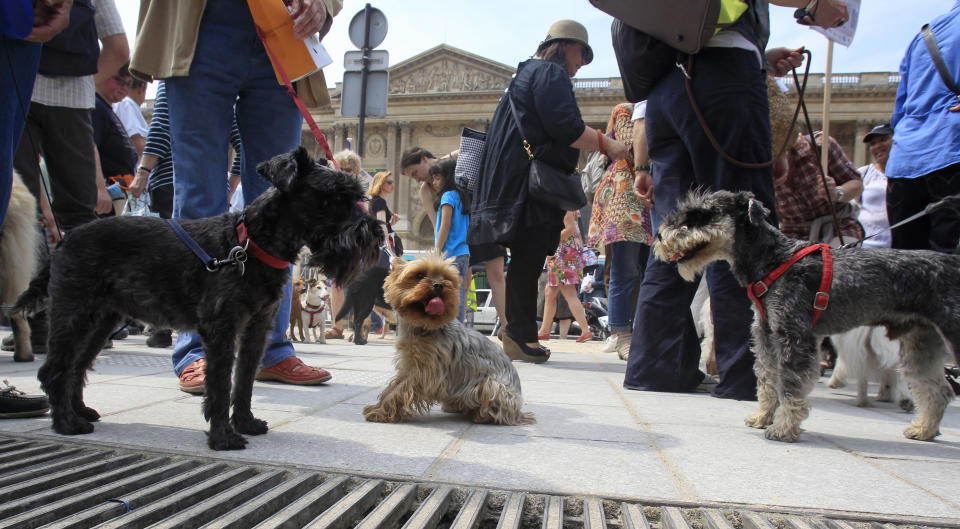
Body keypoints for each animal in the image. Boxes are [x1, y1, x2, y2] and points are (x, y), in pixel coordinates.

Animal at [14, 147, 382, 450]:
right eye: (331, 197)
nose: (376, 232)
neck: (251, 244)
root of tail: (65, 240)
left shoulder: (256, 328)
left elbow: (244, 379)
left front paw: (245, 422)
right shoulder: (221, 328)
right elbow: (219, 383)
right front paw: (223, 437)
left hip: (100, 322)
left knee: (76, 366)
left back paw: (80, 412)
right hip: (74, 315)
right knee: (55, 369)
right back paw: (66, 423)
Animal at [364, 252, 536, 424]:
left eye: (447, 278)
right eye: (419, 275)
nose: (439, 285)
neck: (424, 327)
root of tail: (518, 412)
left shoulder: (426, 372)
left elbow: (400, 389)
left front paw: (381, 411)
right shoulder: (409, 365)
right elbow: (393, 386)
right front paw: (378, 407)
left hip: (493, 385)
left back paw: (480, 415)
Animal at [652, 190, 960, 442]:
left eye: (702, 214)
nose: (660, 235)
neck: (775, 260)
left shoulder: (794, 337)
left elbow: (790, 387)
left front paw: (783, 429)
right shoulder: (766, 336)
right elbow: (767, 381)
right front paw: (763, 417)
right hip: (920, 344)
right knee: (938, 390)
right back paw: (924, 429)